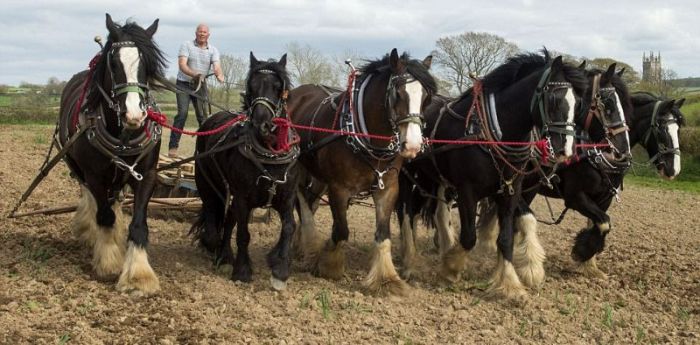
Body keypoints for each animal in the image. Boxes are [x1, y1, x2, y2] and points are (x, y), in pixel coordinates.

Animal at [57, 14, 167, 296]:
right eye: (114, 63)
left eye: (147, 64)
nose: (135, 114)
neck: (124, 135)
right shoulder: (95, 176)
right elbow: (104, 215)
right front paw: (108, 262)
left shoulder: (146, 174)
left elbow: (138, 224)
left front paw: (139, 275)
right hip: (77, 166)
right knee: (92, 199)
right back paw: (89, 231)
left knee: (114, 199)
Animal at [190, 53, 300, 290]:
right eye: (252, 86)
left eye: (279, 88)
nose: (263, 124)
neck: (270, 155)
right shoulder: (242, 198)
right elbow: (243, 233)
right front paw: (242, 270)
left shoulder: (286, 197)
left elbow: (289, 227)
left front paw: (280, 270)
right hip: (206, 183)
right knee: (213, 212)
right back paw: (216, 248)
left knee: (229, 218)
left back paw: (224, 254)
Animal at [396, 49, 588, 300]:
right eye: (554, 99)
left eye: (579, 104)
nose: (566, 149)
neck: (494, 131)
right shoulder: (467, 191)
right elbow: (469, 237)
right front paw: (451, 268)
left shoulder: (511, 190)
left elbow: (506, 238)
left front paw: (511, 284)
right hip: (408, 175)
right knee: (407, 213)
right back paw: (409, 259)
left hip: (438, 179)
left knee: (438, 213)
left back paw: (443, 247)